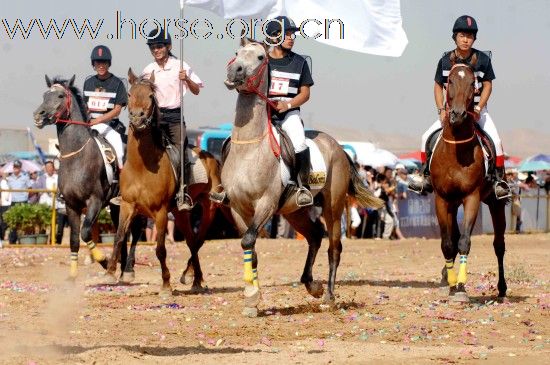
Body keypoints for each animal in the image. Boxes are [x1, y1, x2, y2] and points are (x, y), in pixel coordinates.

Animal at [33, 75, 143, 278]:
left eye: (60, 95)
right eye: (45, 95)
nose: (39, 115)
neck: (77, 156)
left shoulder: (95, 202)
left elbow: (85, 233)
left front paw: (103, 260)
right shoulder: (71, 205)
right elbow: (74, 239)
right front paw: (73, 276)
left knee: (136, 230)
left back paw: (128, 269)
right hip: (116, 205)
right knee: (121, 231)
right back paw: (121, 266)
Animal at [104, 68, 225, 296]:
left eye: (151, 96)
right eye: (130, 94)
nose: (137, 117)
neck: (142, 166)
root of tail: (210, 157)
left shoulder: (159, 212)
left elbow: (160, 249)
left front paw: (166, 285)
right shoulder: (127, 206)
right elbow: (119, 236)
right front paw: (109, 272)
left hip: (209, 207)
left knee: (198, 240)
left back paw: (191, 276)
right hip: (180, 213)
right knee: (191, 240)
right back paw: (195, 279)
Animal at [222, 37, 386, 316]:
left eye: (259, 57)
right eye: (237, 52)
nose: (235, 71)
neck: (249, 149)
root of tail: (338, 147)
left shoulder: (265, 204)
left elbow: (248, 240)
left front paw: (252, 296)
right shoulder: (237, 208)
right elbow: (250, 247)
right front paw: (252, 299)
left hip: (333, 207)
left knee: (334, 247)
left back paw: (328, 295)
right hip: (294, 212)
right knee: (314, 236)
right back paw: (312, 285)